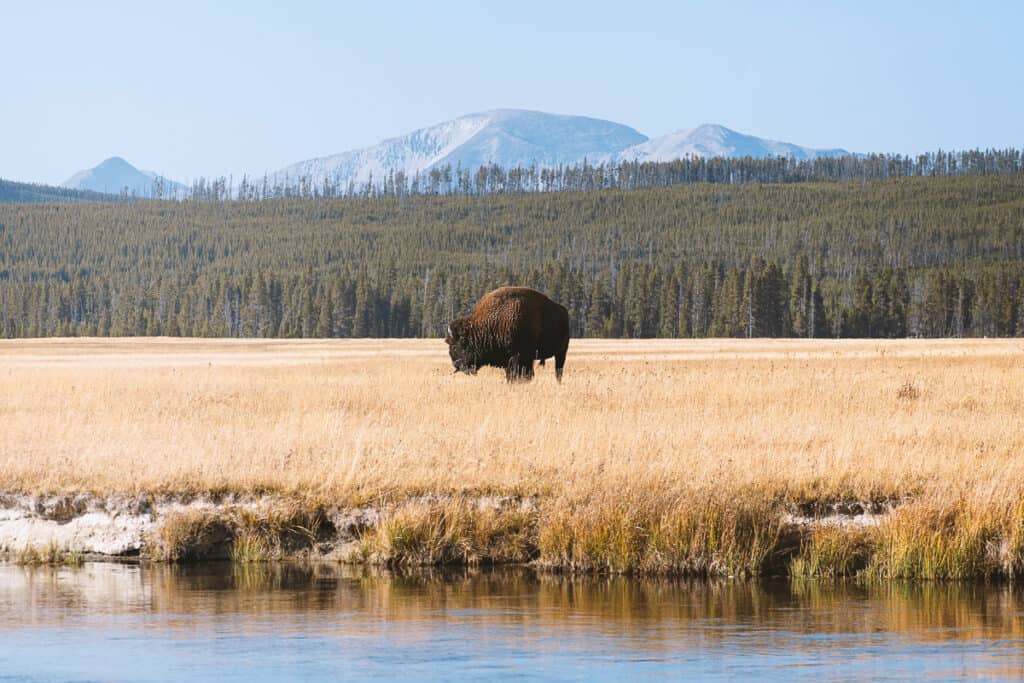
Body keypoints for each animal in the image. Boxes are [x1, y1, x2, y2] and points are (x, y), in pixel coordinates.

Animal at [444, 286, 573, 382]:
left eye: (454, 346)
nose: (456, 364)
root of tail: (563, 311)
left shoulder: (518, 357)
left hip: (561, 352)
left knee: (558, 370)